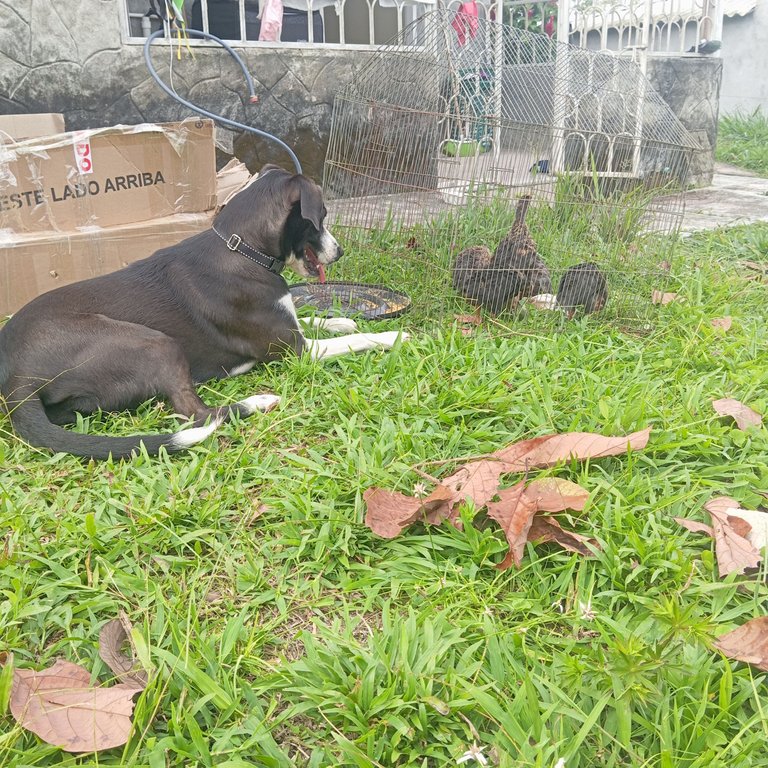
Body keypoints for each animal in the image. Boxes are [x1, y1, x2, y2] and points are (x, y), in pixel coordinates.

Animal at [0, 165, 404, 460]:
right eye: (321, 216)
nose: (340, 252)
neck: (243, 250)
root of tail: (17, 378)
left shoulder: (289, 326)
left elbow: (311, 318)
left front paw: (340, 318)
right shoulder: (297, 350)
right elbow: (358, 339)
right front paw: (393, 335)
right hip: (155, 343)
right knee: (196, 414)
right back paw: (258, 401)